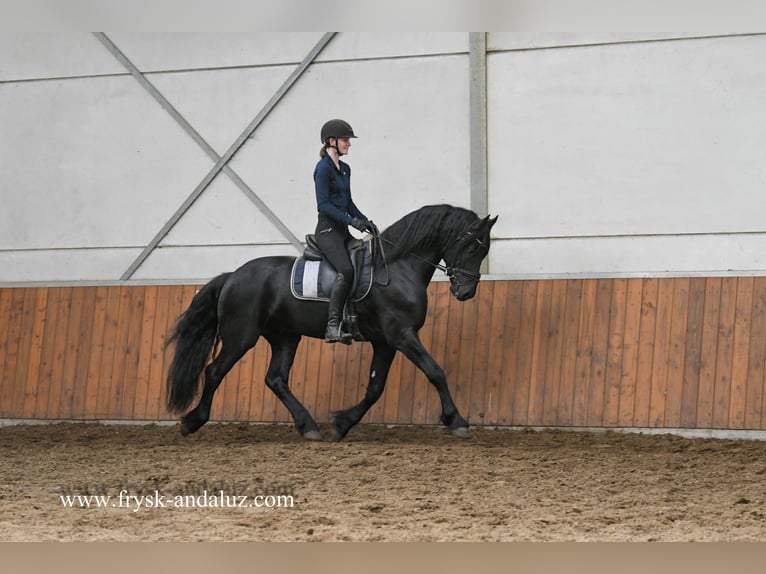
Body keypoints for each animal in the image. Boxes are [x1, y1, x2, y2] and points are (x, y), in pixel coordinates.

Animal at [165, 204, 497, 441]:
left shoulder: (386, 341)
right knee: (214, 372)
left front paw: (342, 423)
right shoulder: (402, 335)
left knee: (275, 378)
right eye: (472, 247)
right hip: (240, 336)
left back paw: (309, 427)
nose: (466, 292)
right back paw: (192, 422)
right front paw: (457, 421)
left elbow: (375, 387)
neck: (397, 267)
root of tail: (233, 275)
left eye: (484, 250)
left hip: (285, 337)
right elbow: (436, 372)